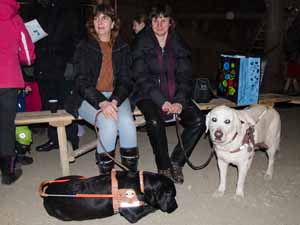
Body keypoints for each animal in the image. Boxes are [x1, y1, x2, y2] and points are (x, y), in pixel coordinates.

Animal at [38, 171, 177, 223]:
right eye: (171, 195)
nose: (176, 207)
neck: (140, 182)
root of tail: (46, 193)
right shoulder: (132, 214)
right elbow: (151, 207)